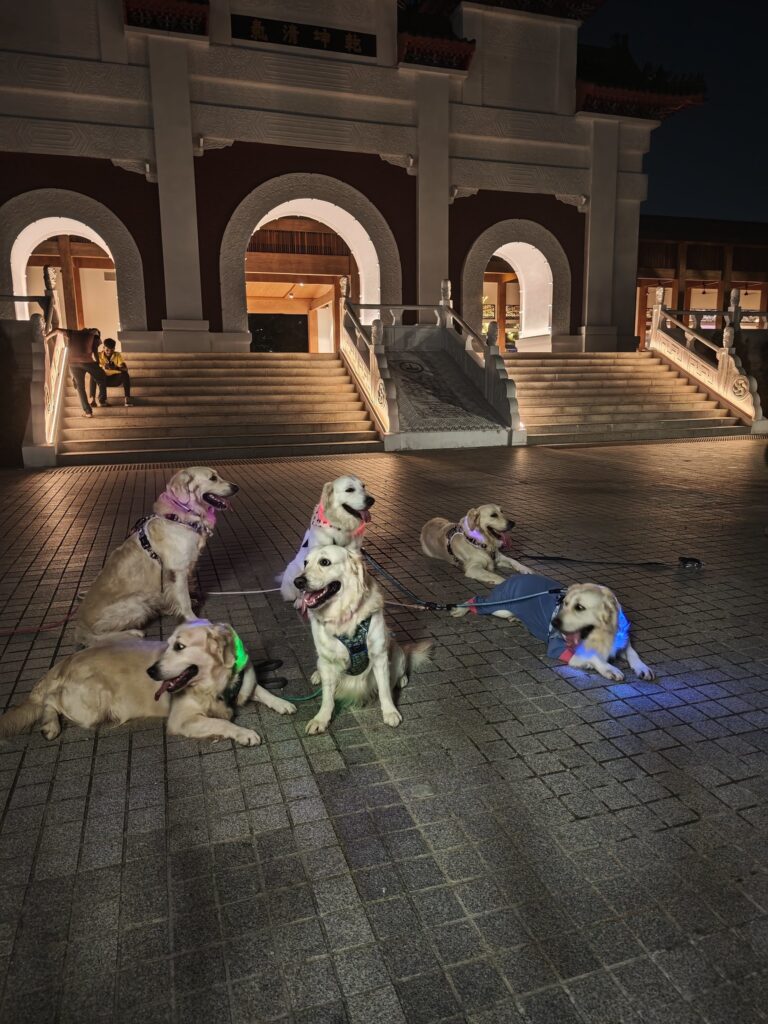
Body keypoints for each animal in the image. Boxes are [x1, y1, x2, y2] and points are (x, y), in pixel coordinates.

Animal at [0, 620, 296, 745]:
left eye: (179, 646)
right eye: (168, 645)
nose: (151, 671)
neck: (214, 684)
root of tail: (65, 661)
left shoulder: (242, 685)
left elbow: (260, 689)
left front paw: (282, 702)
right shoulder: (181, 719)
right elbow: (222, 722)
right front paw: (244, 733)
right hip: (91, 707)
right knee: (50, 700)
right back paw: (50, 725)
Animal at [74, 467, 238, 646]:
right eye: (213, 478)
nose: (236, 487)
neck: (179, 518)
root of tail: (81, 625)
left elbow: (175, 596)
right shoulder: (178, 571)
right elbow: (184, 599)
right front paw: (193, 620)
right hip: (136, 604)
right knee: (98, 637)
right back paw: (133, 632)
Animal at [293, 545, 431, 735]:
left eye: (325, 562)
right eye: (306, 563)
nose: (297, 582)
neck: (343, 615)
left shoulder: (379, 656)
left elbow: (384, 690)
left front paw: (390, 712)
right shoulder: (327, 659)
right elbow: (327, 696)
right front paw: (321, 719)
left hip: (396, 651)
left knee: (399, 668)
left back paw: (401, 679)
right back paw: (317, 675)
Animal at [453, 573, 654, 682]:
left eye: (580, 607)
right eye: (564, 603)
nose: (555, 622)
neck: (599, 635)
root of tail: (513, 577)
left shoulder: (621, 640)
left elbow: (633, 653)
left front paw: (642, 668)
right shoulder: (560, 649)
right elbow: (592, 656)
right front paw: (609, 669)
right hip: (499, 606)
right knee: (479, 601)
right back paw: (460, 609)